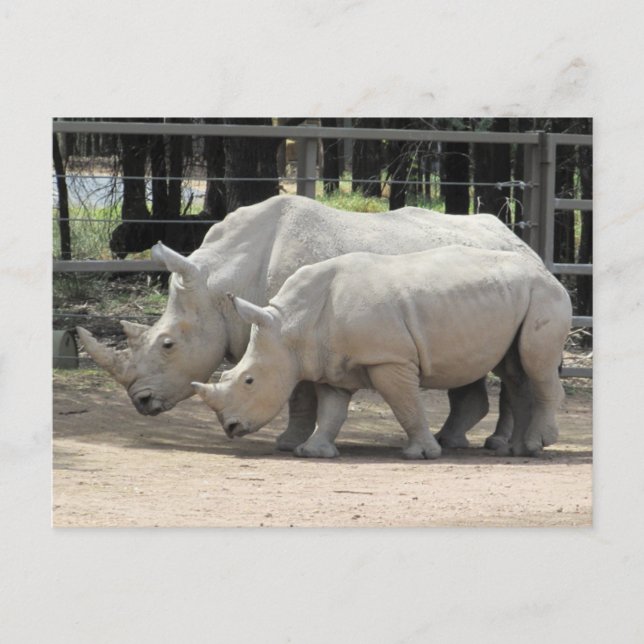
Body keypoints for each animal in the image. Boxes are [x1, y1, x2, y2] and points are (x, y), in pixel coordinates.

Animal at [191, 246, 572, 459]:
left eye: (249, 380)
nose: (229, 427)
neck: (290, 327)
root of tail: (547, 270)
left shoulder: (389, 358)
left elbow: (406, 405)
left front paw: (421, 454)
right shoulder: (331, 364)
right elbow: (331, 411)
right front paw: (313, 452)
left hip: (544, 294)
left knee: (535, 365)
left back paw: (537, 445)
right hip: (519, 295)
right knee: (515, 370)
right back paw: (518, 451)